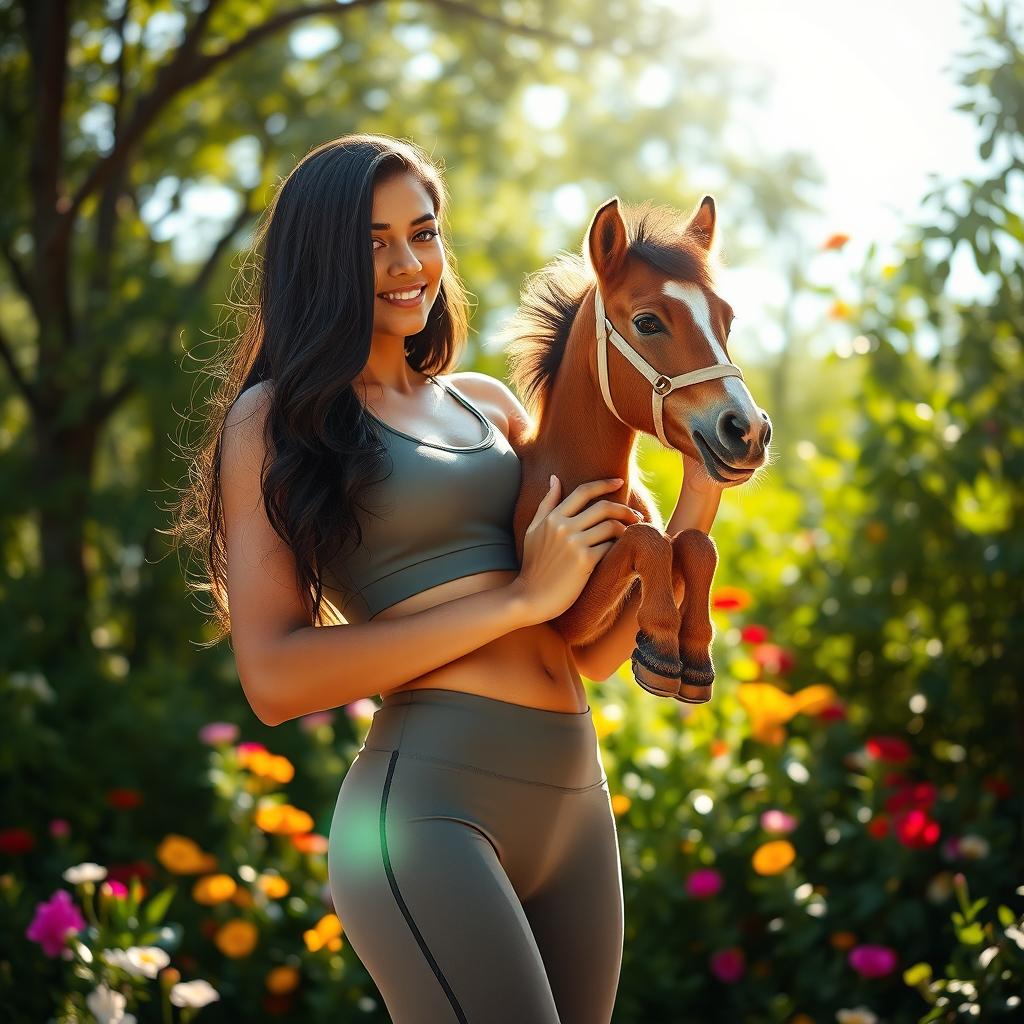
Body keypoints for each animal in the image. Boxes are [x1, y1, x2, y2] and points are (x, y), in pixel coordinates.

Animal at [499, 194, 770, 700]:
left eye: (727, 321)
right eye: (647, 322)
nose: (748, 431)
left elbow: (695, 544)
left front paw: (695, 657)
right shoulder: (561, 621)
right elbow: (648, 541)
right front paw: (662, 650)